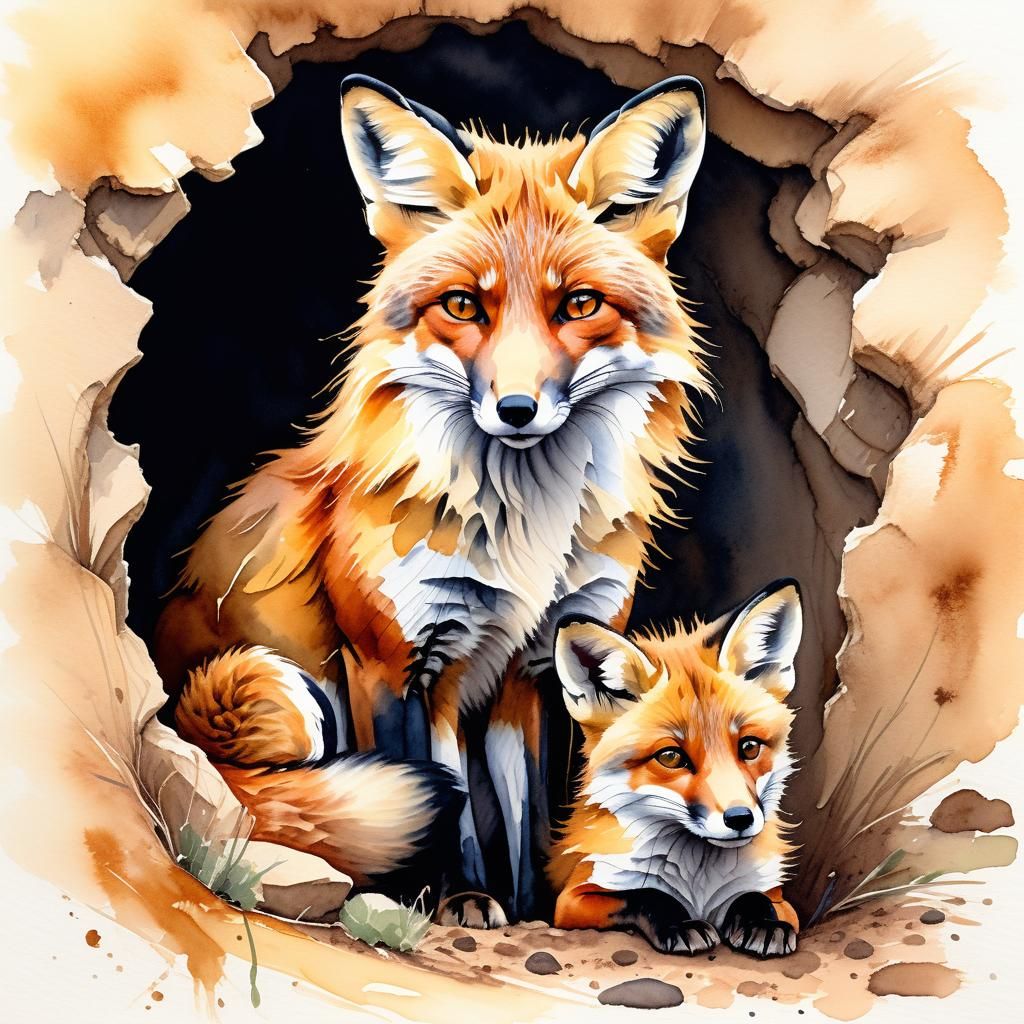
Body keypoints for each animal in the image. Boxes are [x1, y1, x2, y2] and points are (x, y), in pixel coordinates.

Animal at [153, 73, 711, 923]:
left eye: (579, 306)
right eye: (463, 305)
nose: (516, 409)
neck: (525, 535)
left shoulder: (529, 667)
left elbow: (522, 811)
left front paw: (524, 905)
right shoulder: (396, 662)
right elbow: (439, 799)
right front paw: (440, 900)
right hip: (270, 687)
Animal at [548, 580, 802, 959]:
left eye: (749, 747)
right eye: (670, 757)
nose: (740, 819)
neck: (698, 880)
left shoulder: (781, 900)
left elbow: (754, 897)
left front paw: (765, 924)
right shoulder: (572, 900)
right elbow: (644, 894)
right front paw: (682, 924)